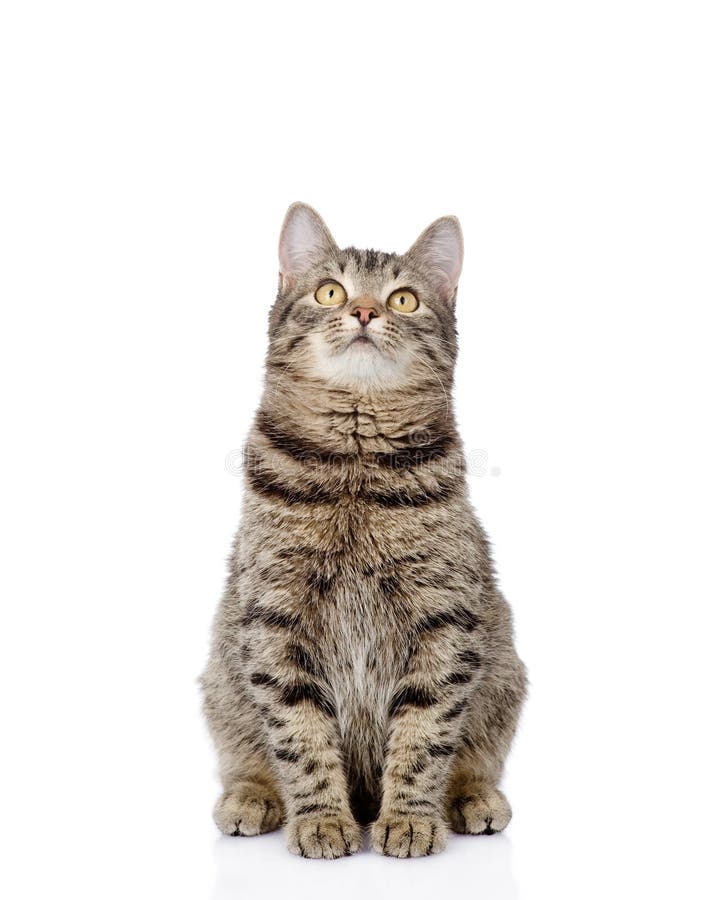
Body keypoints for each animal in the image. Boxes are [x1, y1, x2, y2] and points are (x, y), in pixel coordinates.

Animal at [202, 204, 528, 856]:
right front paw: (323, 819)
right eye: (331, 291)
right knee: (247, 755)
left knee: (475, 755)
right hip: (219, 682)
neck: (354, 464)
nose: (364, 311)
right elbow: (299, 734)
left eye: (404, 299)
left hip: (507, 675)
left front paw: (409, 818)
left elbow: (425, 733)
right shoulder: (273, 617)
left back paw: (473, 797)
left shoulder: (444, 617)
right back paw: (252, 797)